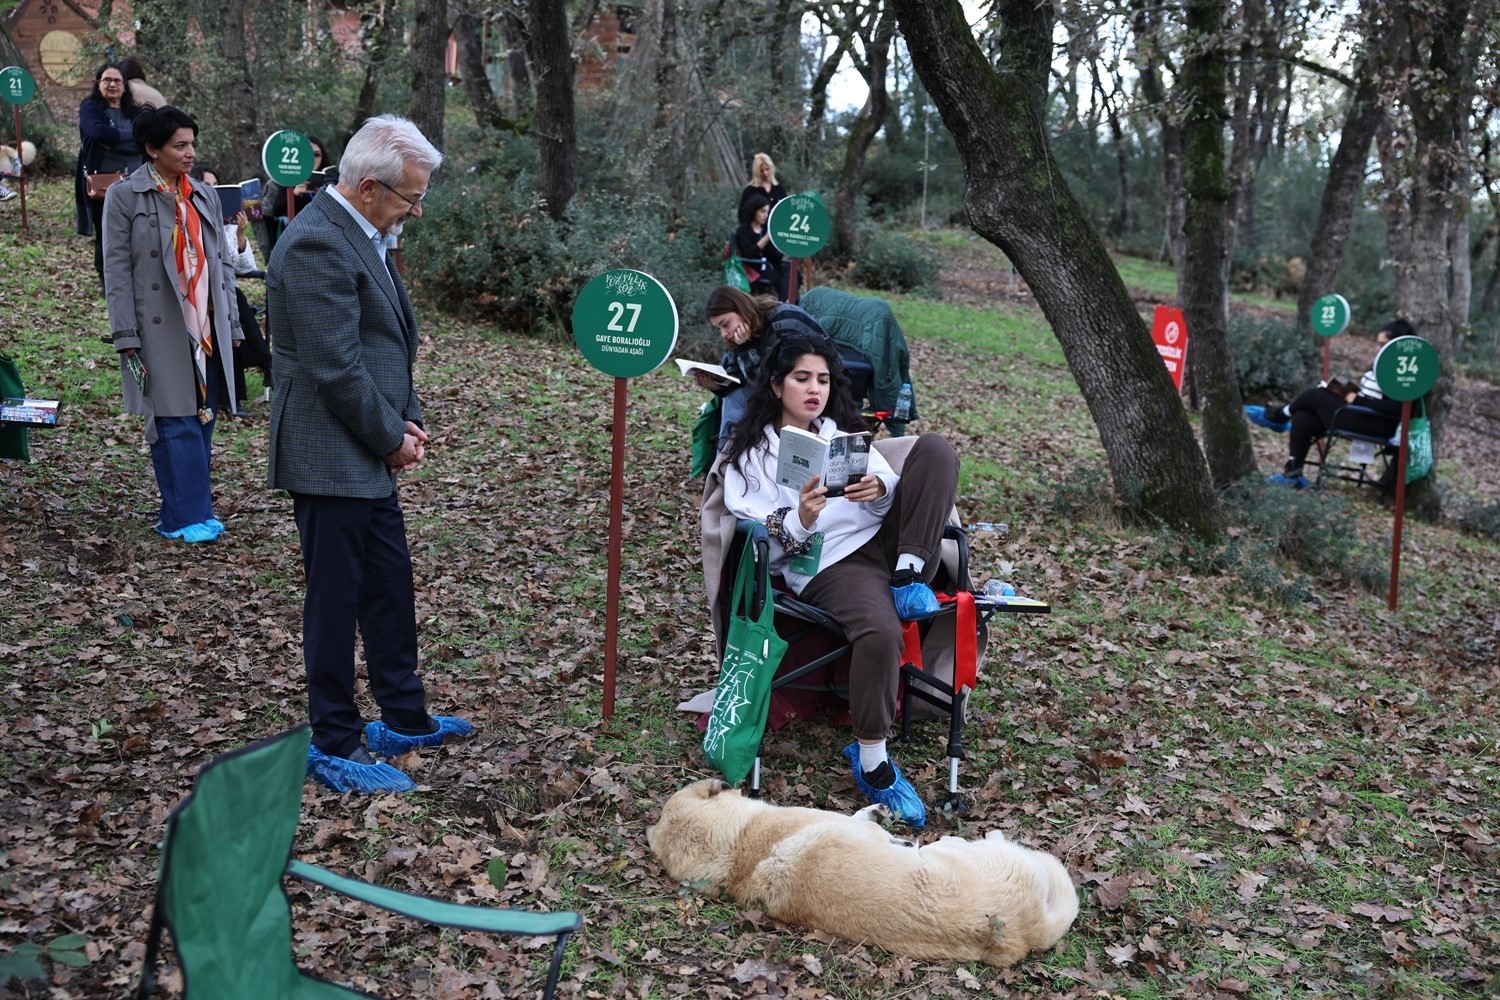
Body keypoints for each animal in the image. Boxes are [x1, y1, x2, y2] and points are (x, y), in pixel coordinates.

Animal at [645, 779, 1080, 965]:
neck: (739, 849)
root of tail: (1026, 932)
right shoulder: (849, 826)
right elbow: (864, 822)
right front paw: (883, 821)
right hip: (959, 850)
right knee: (980, 840)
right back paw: (988, 832)